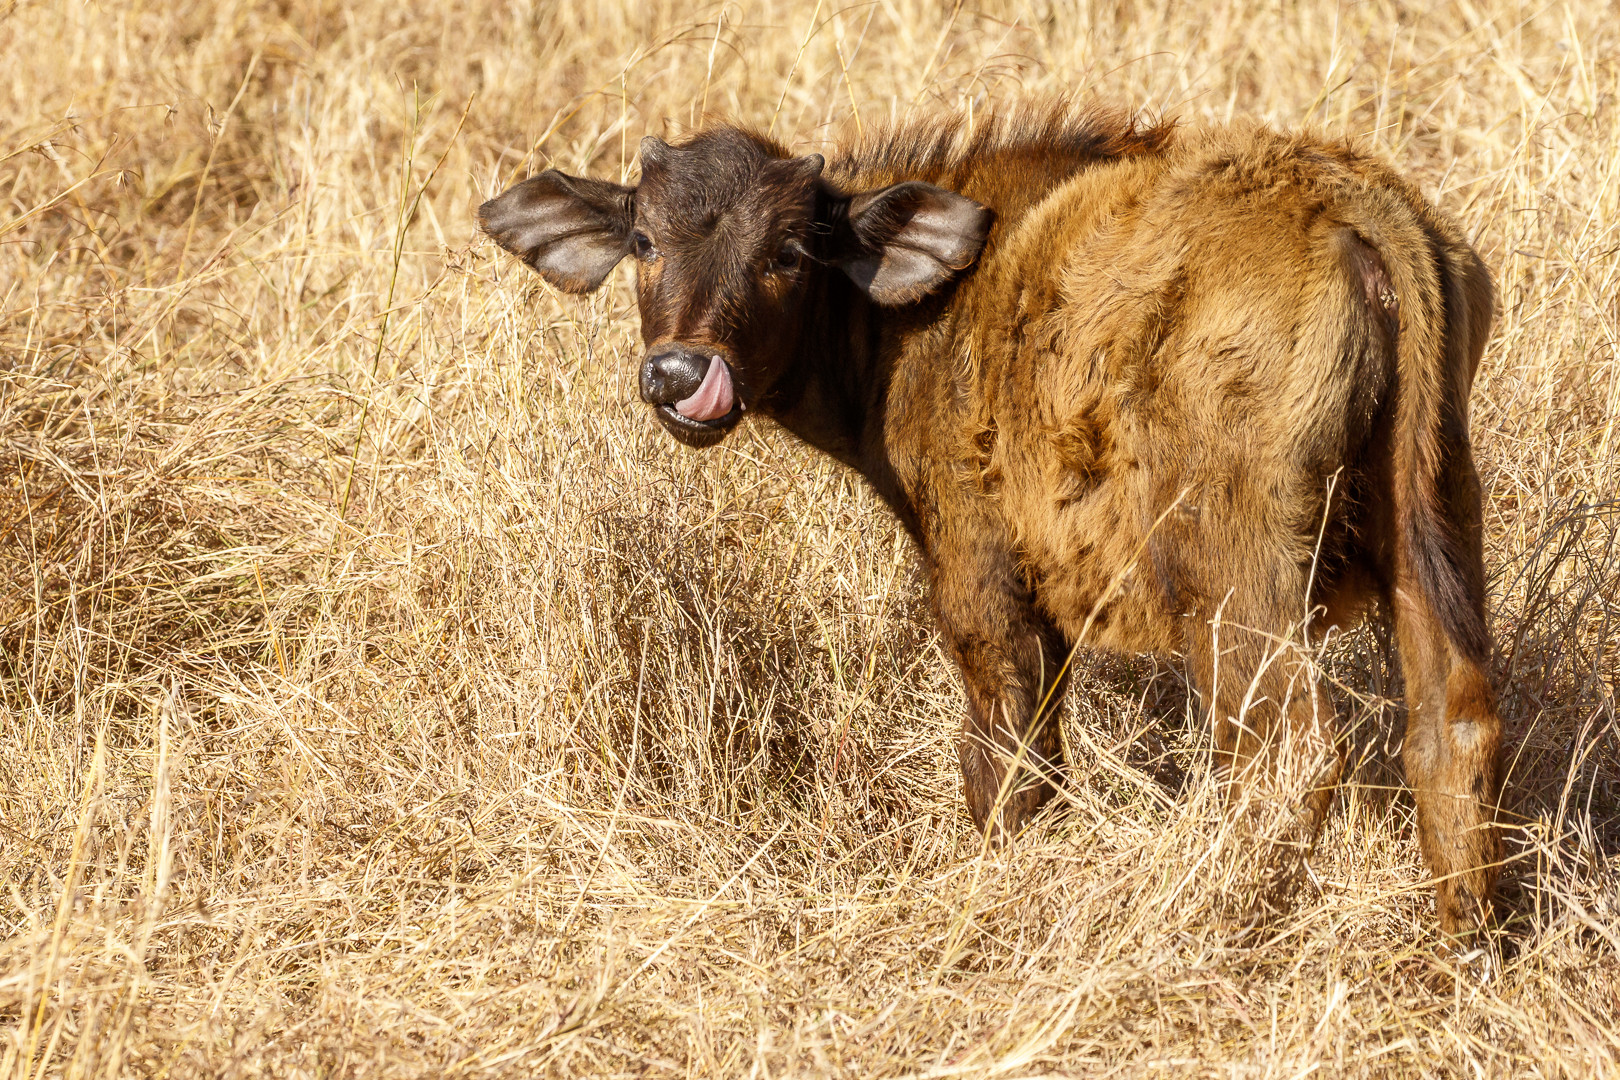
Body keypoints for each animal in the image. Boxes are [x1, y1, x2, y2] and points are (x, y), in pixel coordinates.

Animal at [479, 105, 1503, 939]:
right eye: (644, 240)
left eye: (787, 254)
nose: (680, 375)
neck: (919, 316)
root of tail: (1354, 206)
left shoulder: (983, 583)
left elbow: (1006, 764)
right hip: (1437, 507)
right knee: (1450, 722)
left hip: (1229, 570)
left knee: (1287, 749)